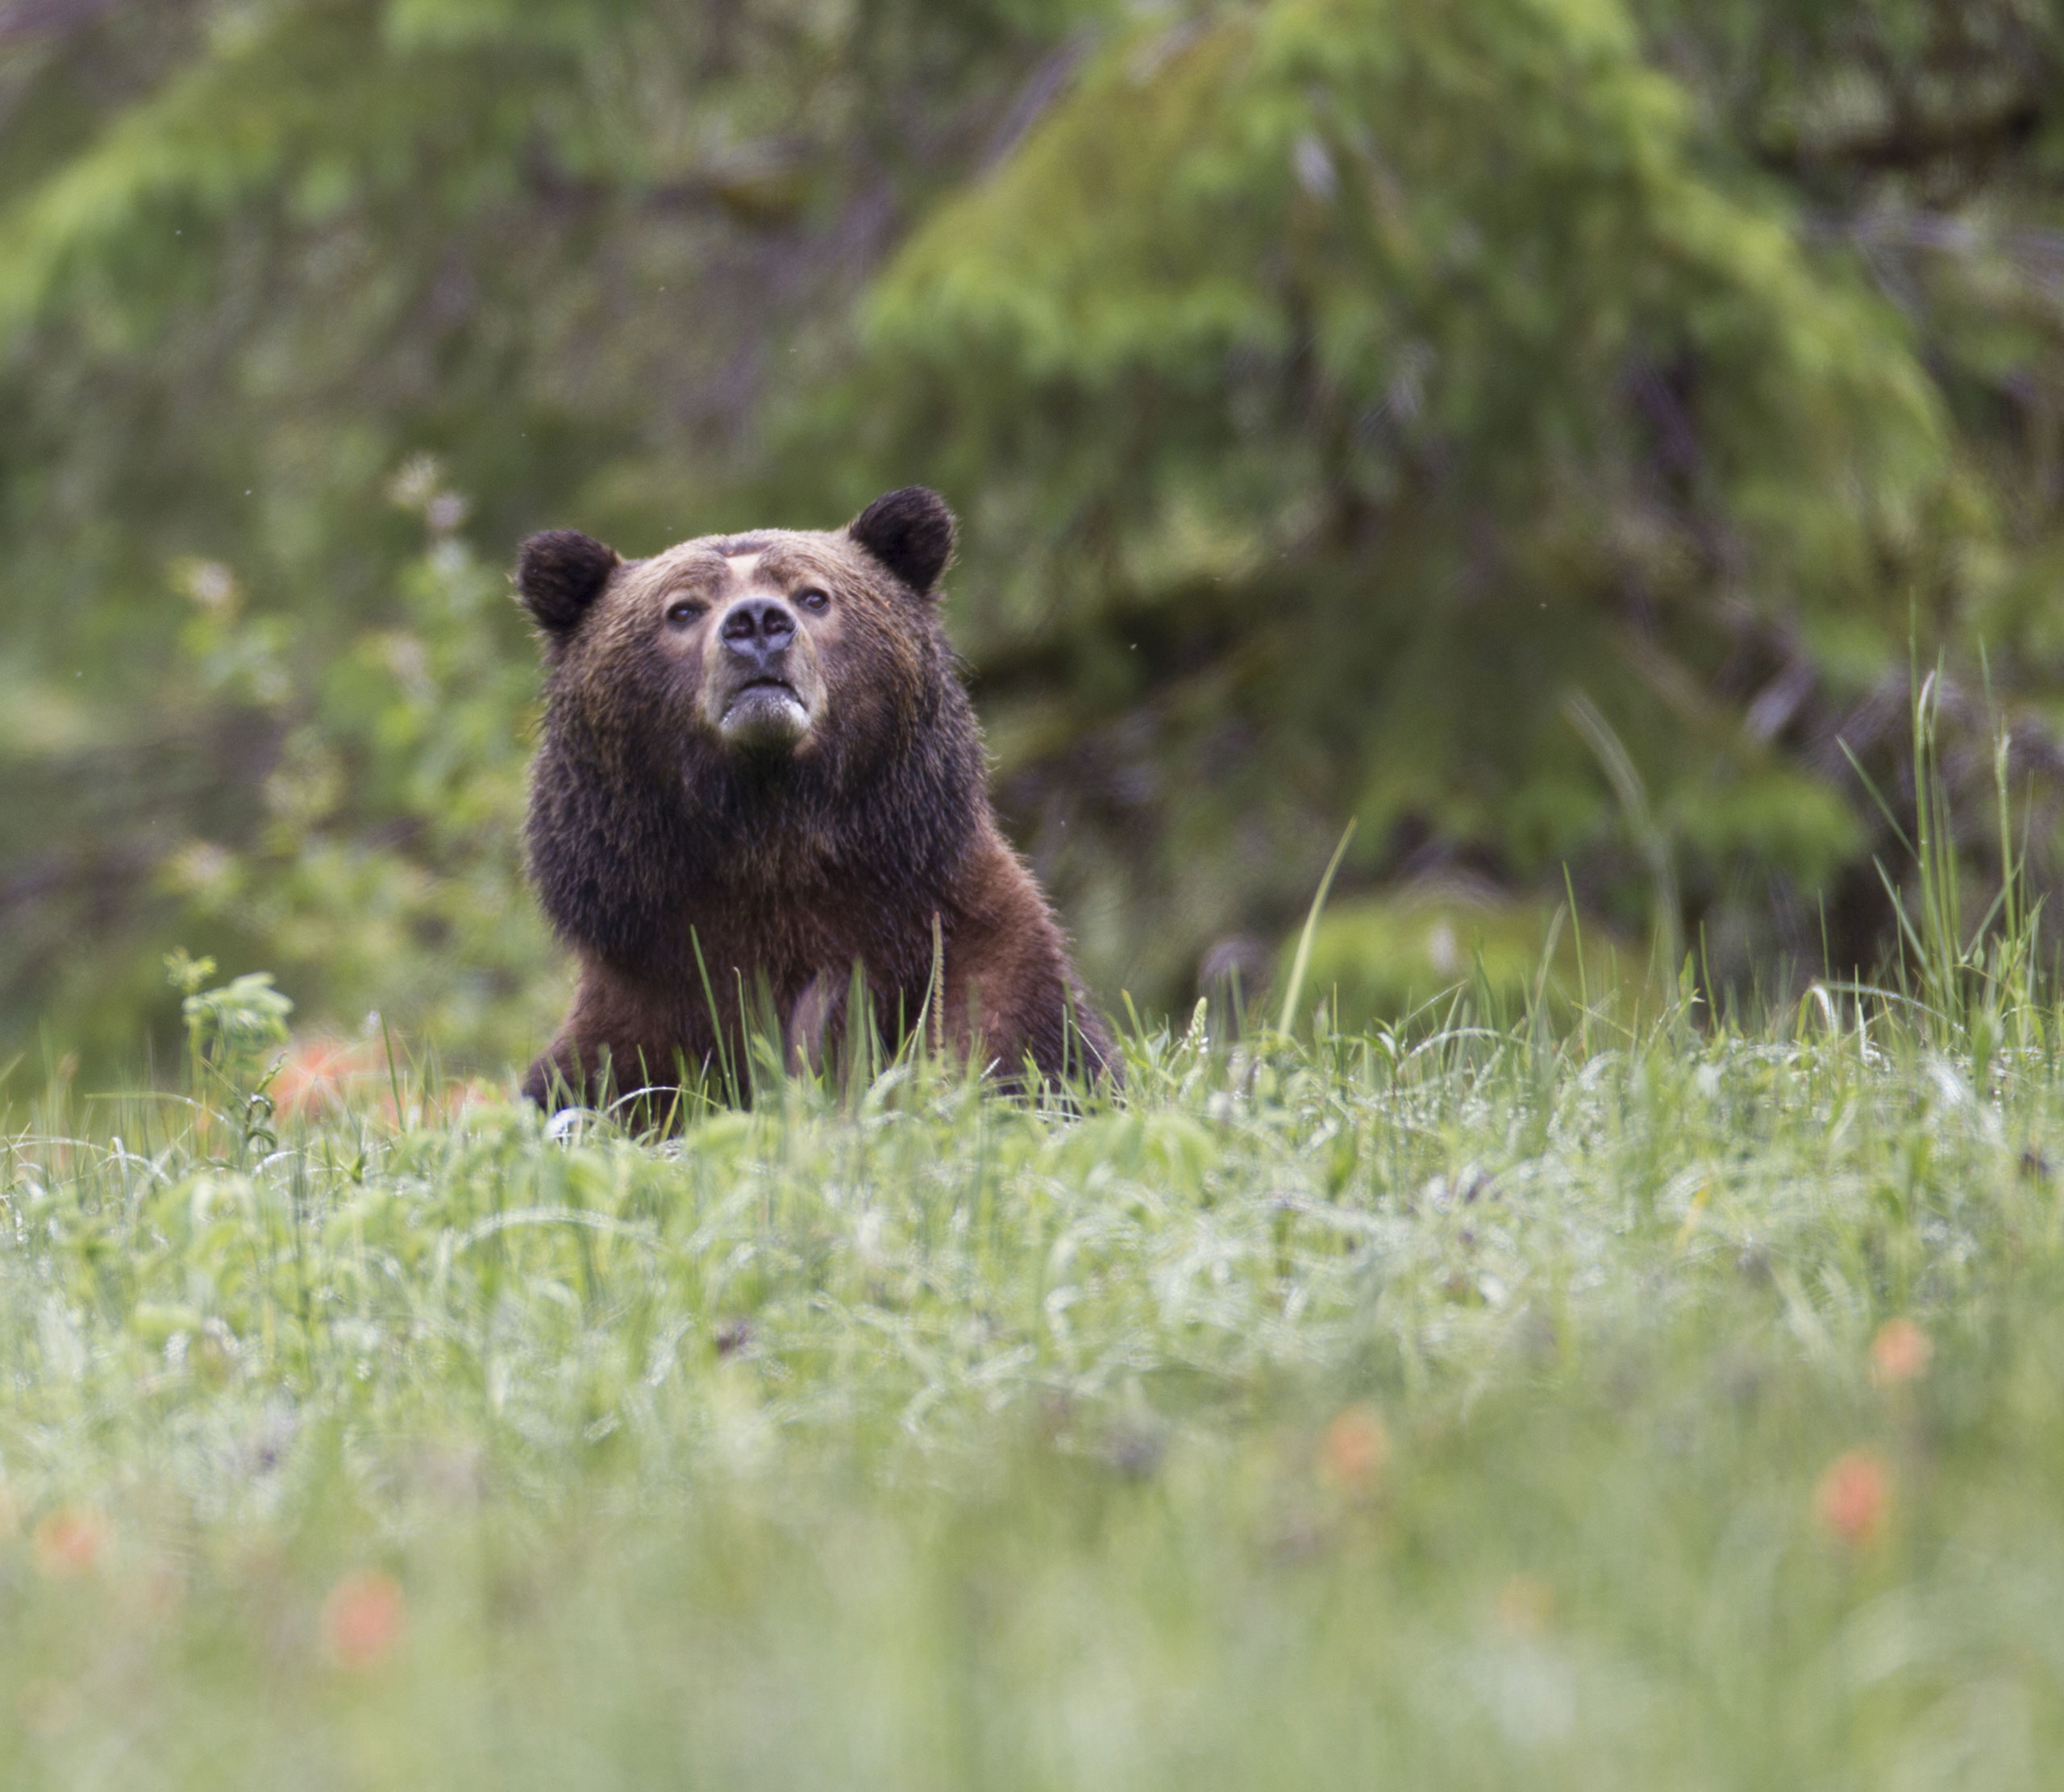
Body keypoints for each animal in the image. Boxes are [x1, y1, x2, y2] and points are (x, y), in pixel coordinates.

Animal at [513, 486, 1119, 1110]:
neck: (776, 831)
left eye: (813, 595)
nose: (757, 621)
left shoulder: (973, 951)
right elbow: (596, 1089)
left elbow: (1019, 1054)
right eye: (682, 609)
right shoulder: (645, 1002)